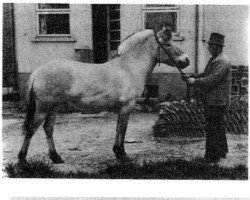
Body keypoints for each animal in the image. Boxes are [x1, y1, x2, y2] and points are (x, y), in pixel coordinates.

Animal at [18, 27, 189, 164]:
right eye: (168, 45)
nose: (186, 60)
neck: (129, 67)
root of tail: (37, 72)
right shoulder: (127, 106)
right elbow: (123, 129)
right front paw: (123, 155)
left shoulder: (121, 108)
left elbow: (118, 128)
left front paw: (117, 152)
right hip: (43, 108)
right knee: (31, 129)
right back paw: (22, 158)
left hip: (54, 108)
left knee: (48, 129)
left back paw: (56, 157)